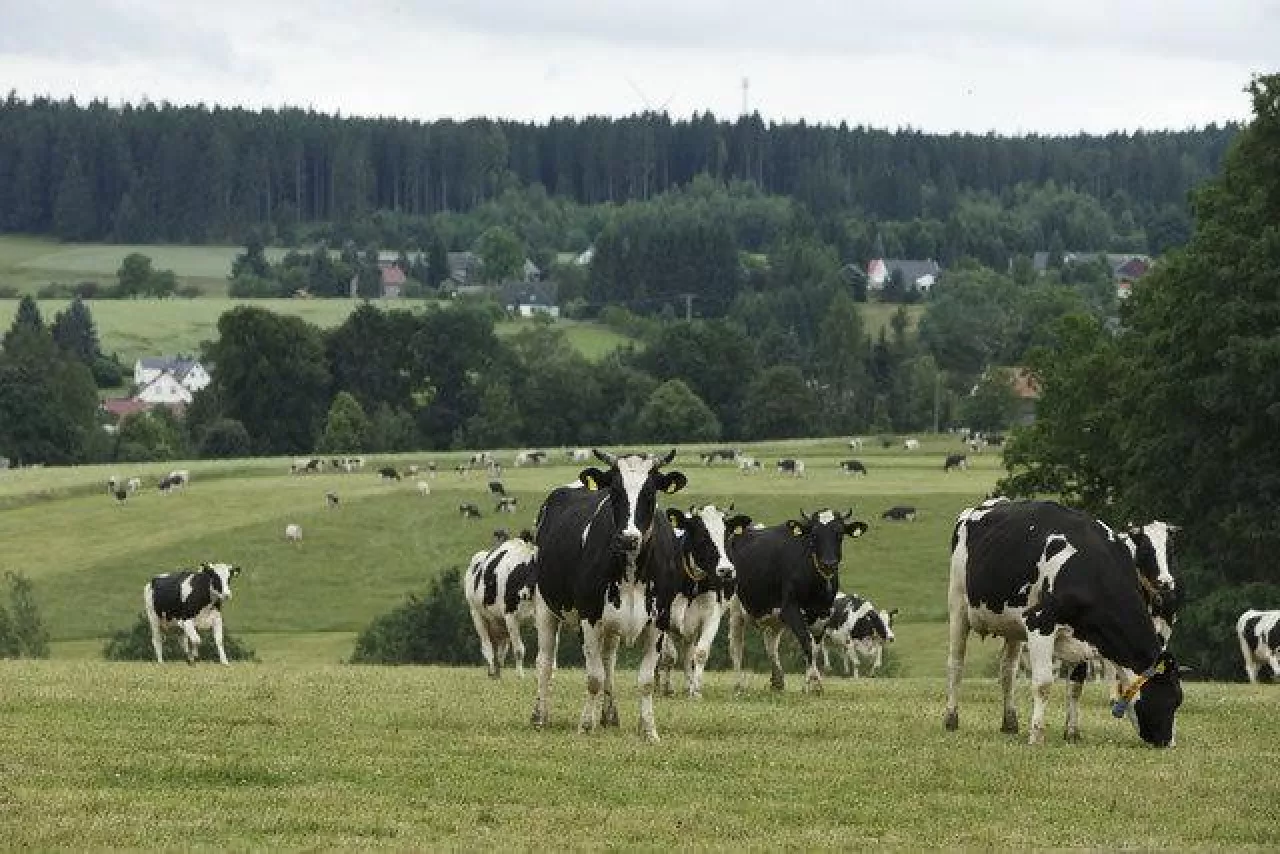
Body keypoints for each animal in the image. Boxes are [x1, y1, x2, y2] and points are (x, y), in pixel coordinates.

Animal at [465, 535, 540, 681]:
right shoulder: (510, 616)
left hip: (499, 622)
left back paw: (497, 672)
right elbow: (519, 650)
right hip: (477, 615)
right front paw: (520, 675)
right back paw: (492, 670)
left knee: (500, 650)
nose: (524, 593)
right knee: (487, 646)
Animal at [529, 448, 691, 742]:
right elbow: (593, 677)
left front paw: (649, 730)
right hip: (545, 604)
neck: (631, 570)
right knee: (545, 662)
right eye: (614, 492)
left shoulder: (659, 621)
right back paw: (540, 716)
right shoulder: (590, 617)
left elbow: (644, 681)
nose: (628, 538)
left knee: (609, 664)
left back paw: (609, 716)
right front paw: (585, 725)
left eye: (650, 492)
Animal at [660, 504, 747, 696]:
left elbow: (699, 653)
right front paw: (666, 688)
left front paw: (696, 689)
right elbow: (668, 655)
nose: (726, 570)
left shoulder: (711, 616)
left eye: (727, 537)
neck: (692, 585)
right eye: (702, 537)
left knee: (690, 651)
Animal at [732, 507, 870, 696]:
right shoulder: (791, 609)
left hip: (774, 617)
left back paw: (777, 681)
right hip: (736, 609)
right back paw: (739, 684)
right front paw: (812, 683)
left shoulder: (823, 613)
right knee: (736, 644)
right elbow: (806, 642)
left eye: (840, 533)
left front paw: (812, 683)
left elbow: (815, 647)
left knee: (771, 644)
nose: (828, 563)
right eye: (813, 534)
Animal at [947, 496, 1182, 742]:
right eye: (1172, 700)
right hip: (958, 605)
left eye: (1171, 550)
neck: (1091, 569)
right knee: (956, 663)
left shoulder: (1085, 634)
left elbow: (1075, 686)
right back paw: (951, 718)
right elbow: (1043, 684)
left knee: (1008, 670)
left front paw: (1072, 731)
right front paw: (1036, 735)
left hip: (1012, 626)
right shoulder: (1039, 622)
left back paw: (1010, 721)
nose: (1169, 743)